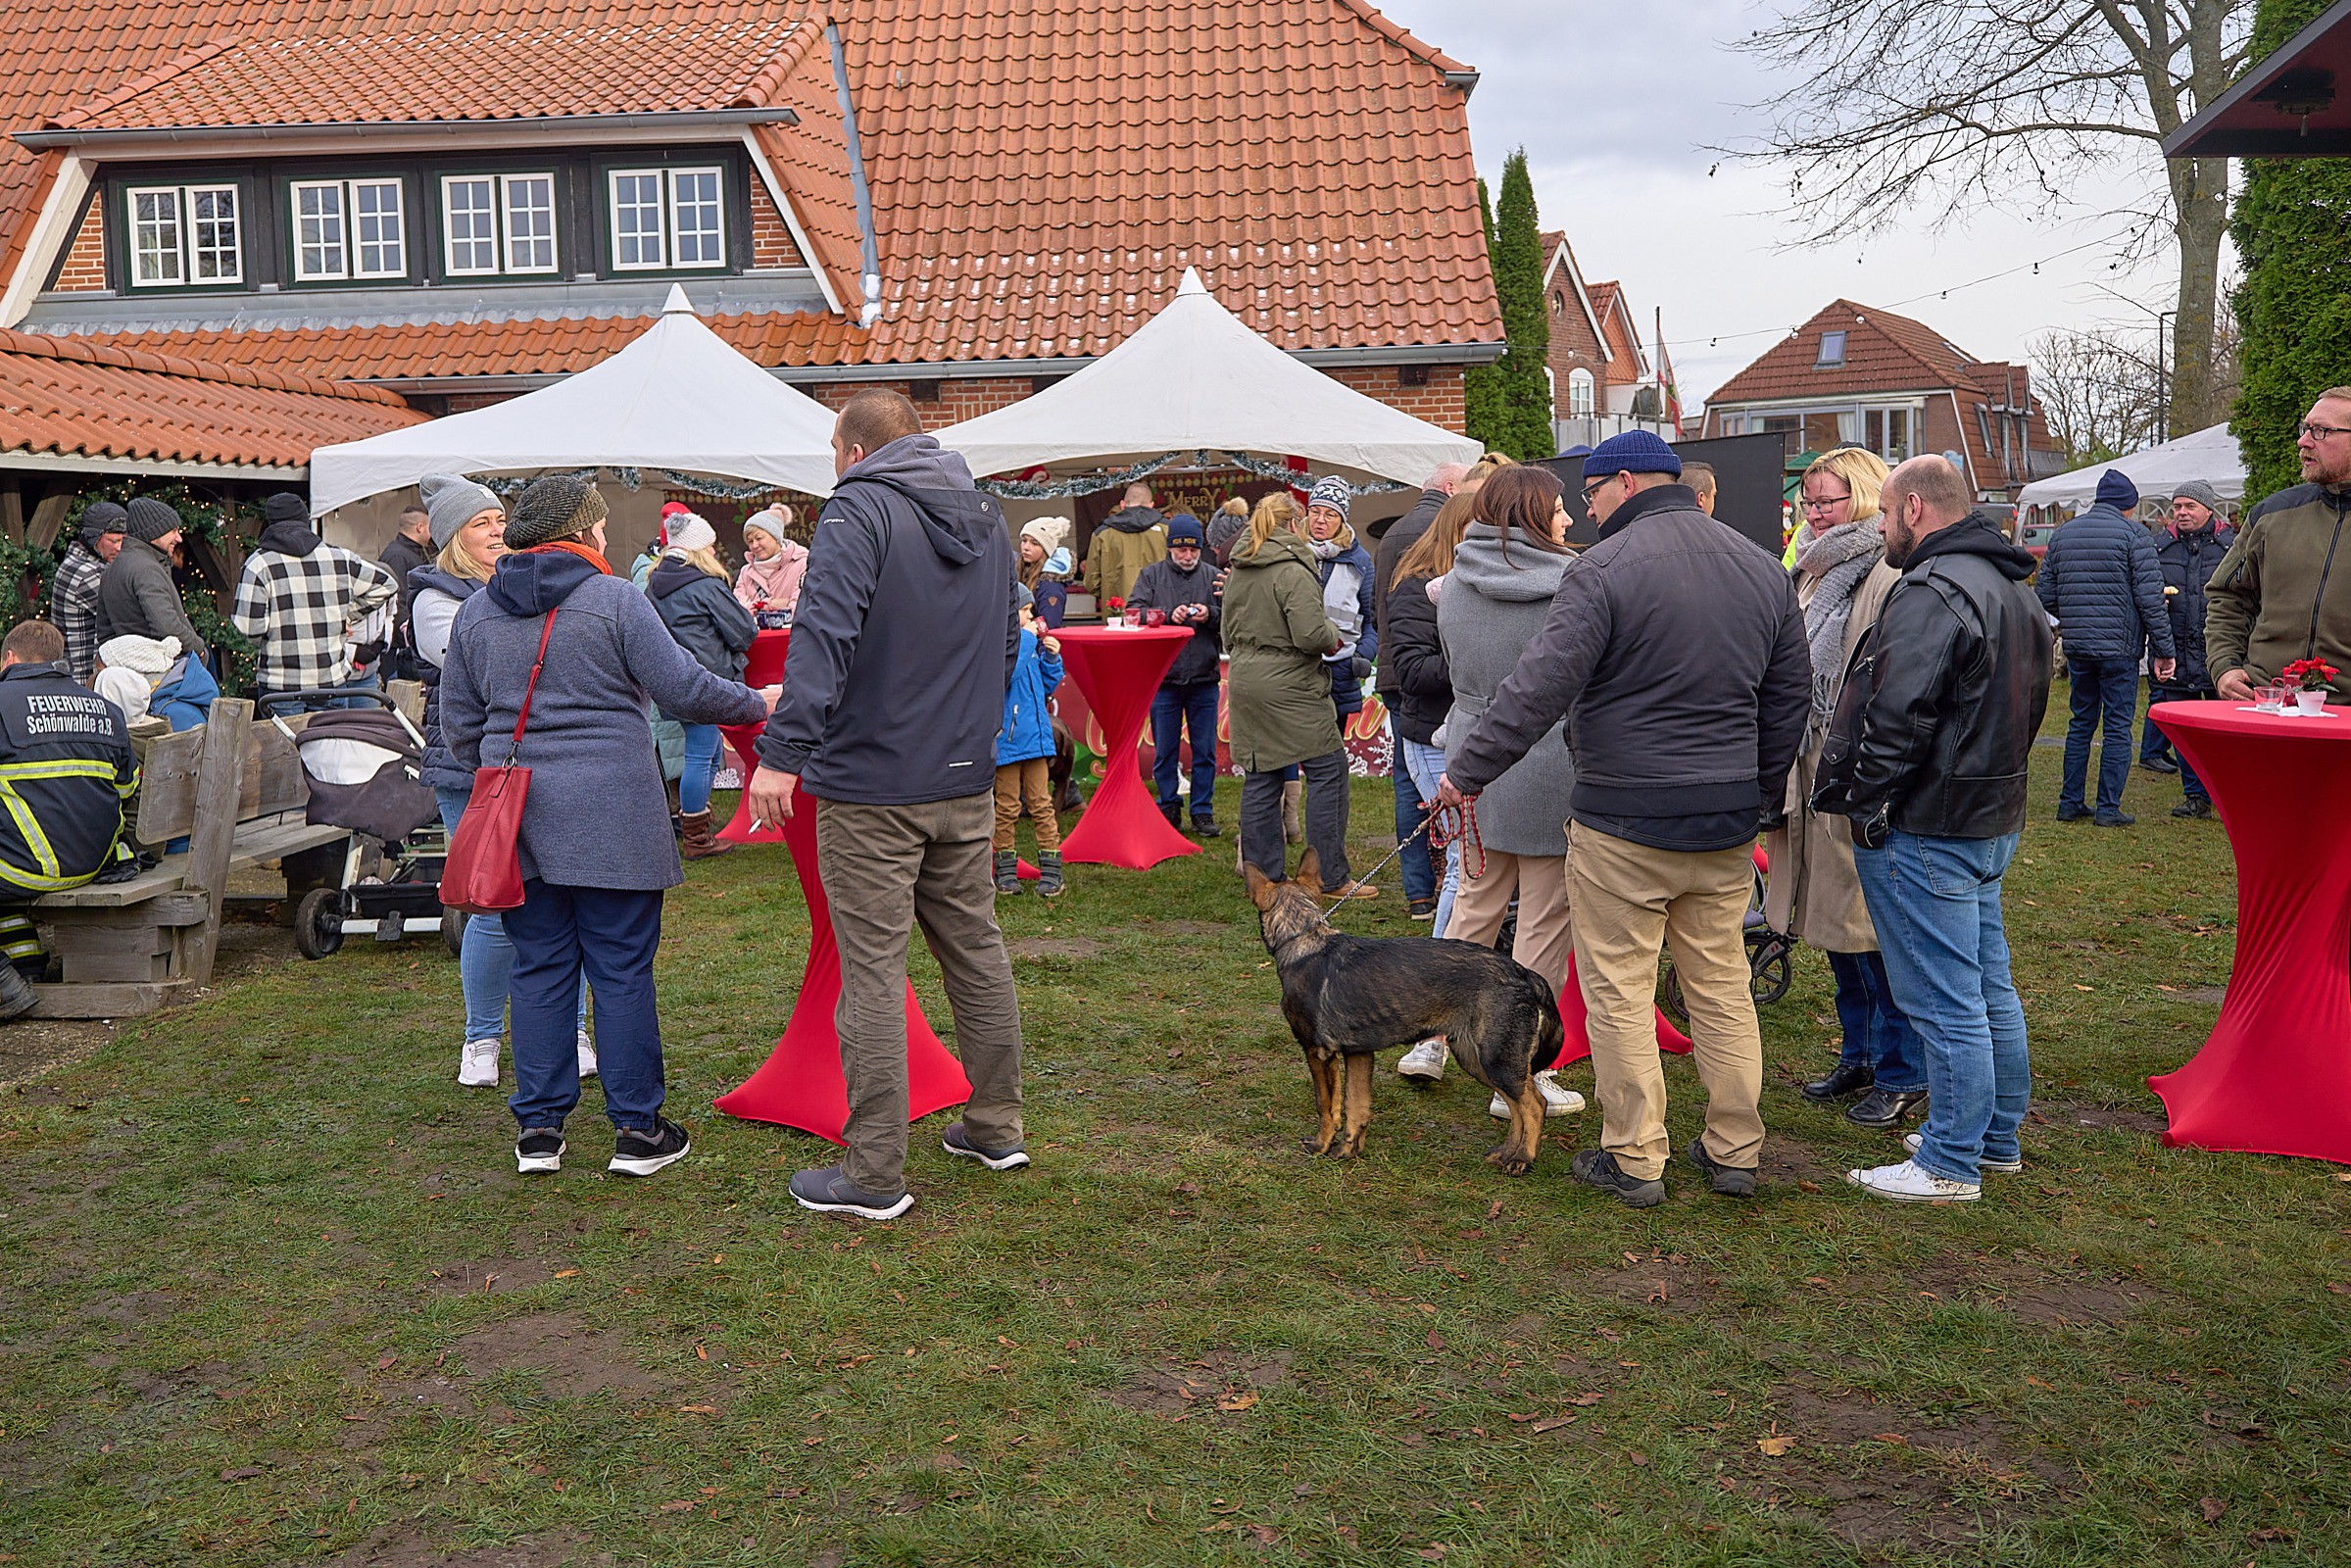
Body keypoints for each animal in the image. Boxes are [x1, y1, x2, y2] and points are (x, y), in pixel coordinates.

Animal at [1250, 851, 1560, 1170]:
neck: (1302, 939)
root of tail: (1524, 973)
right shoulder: (1359, 1054)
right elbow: (1357, 1106)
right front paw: (1349, 1151)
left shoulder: (1318, 1052)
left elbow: (1327, 1105)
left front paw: (1321, 1146)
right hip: (1479, 1060)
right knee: (1515, 1106)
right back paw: (1506, 1152)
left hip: (1496, 1061)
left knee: (1535, 1105)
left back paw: (1522, 1158)